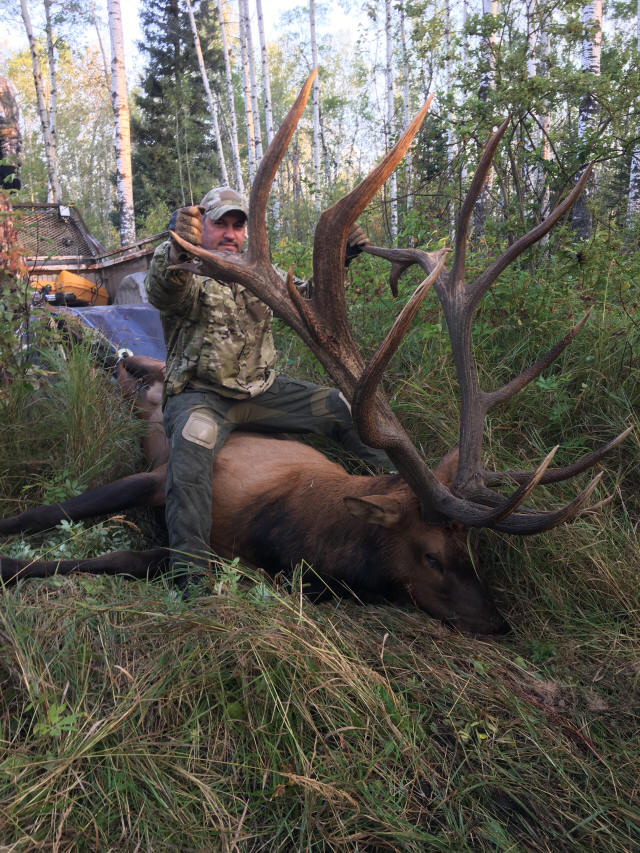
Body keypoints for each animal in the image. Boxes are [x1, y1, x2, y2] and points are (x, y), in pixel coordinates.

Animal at [0, 72, 630, 634]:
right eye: (430, 553)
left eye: (470, 549)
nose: (497, 622)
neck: (290, 528)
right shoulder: (155, 479)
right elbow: (54, 520)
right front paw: (12, 557)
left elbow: (133, 556)